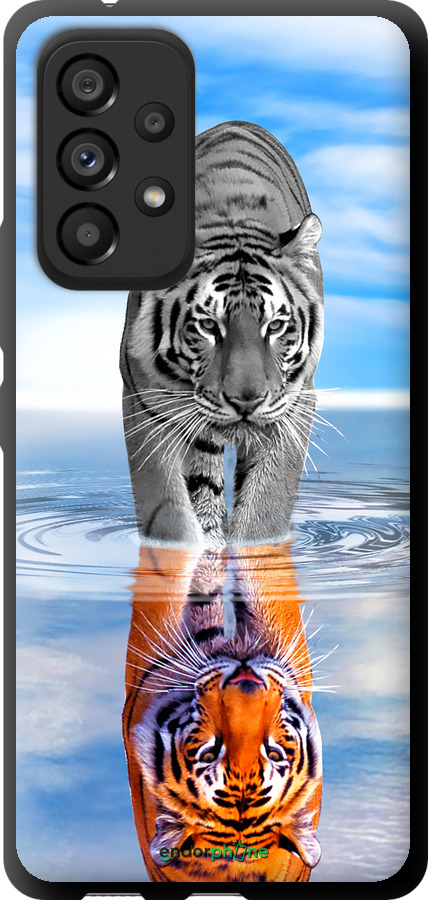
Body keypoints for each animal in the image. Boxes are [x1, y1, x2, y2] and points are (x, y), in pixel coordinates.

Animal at [120, 121, 323, 548]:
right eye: (208, 326)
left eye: (275, 326)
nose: (247, 401)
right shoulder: (144, 402)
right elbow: (168, 510)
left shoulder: (295, 404)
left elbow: (266, 508)